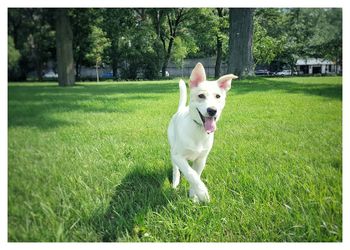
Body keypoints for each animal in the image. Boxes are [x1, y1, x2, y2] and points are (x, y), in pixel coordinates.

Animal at [167, 63, 238, 203]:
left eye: (218, 96)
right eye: (201, 96)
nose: (212, 110)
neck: (198, 130)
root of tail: (180, 110)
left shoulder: (201, 159)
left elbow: (196, 175)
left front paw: (194, 196)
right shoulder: (178, 156)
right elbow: (191, 174)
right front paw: (203, 193)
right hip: (172, 149)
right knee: (175, 168)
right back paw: (175, 182)